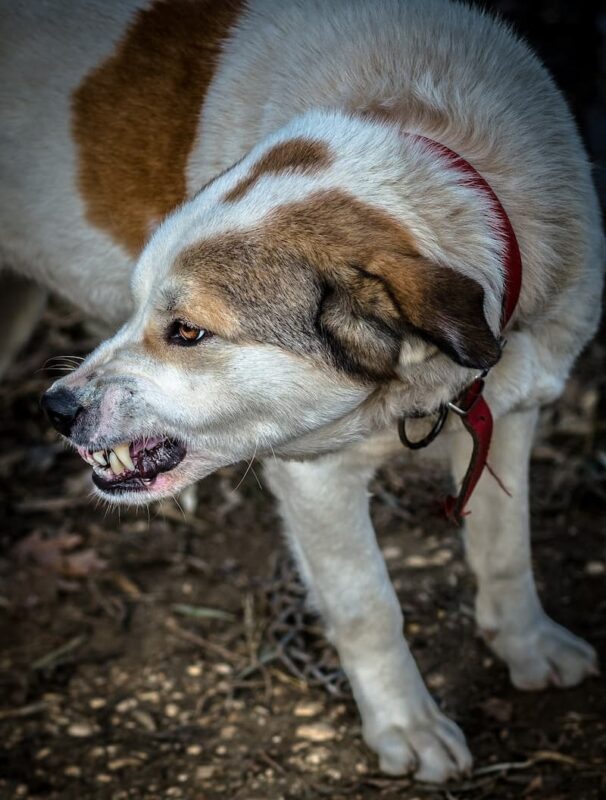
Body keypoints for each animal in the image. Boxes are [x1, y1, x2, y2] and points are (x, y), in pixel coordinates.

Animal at [2, 0, 604, 780]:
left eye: (187, 331)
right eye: (137, 307)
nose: (57, 410)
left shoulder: (509, 409)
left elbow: (506, 551)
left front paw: (527, 647)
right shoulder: (315, 474)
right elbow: (367, 606)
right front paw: (405, 725)